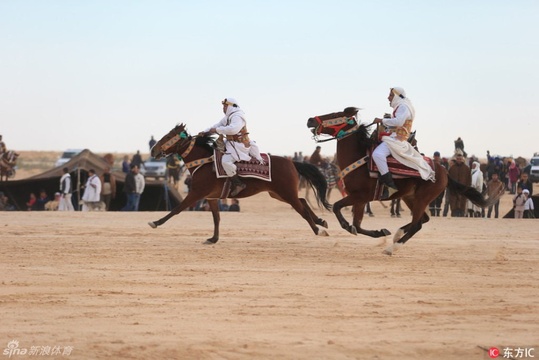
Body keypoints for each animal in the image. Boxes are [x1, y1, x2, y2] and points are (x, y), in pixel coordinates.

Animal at [149, 122, 334, 243]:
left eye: (168, 136)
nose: (153, 150)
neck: (204, 163)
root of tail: (291, 162)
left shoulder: (196, 194)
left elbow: (176, 209)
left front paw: (155, 222)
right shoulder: (211, 198)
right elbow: (216, 218)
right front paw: (214, 238)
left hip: (286, 193)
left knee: (301, 209)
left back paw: (318, 229)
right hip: (278, 194)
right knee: (302, 201)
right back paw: (321, 221)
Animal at [308, 107, 502, 256]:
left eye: (334, 114)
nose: (310, 120)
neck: (358, 159)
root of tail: (445, 172)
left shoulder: (360, 196)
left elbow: (337, 208)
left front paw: (350, 227)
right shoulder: (360, 199)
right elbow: (357, 224)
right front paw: (380, 231)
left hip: (422, 198)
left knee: (417, 224)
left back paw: (392, 247)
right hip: (410, 197)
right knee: (423, 220)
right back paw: (396, 235)